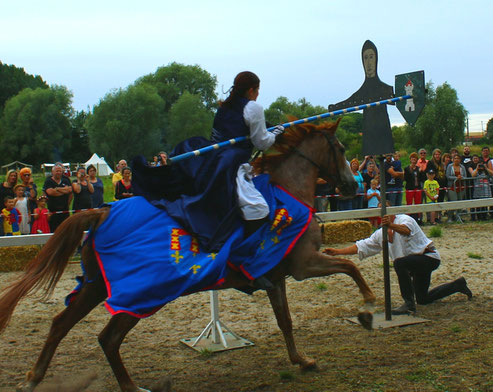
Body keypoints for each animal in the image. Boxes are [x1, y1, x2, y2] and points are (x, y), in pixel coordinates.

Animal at [0, 119, 374, 392]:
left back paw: (34, 377)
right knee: (108, 338)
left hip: (96, 285)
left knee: (61, 324)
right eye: (341, 148)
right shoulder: (303, 264)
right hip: (140, 293)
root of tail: (102, 212)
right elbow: (348, 266)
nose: (350, 185)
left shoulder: (277, 277)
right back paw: (131, 387)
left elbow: (286, 321)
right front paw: (368, 305)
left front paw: (302, 360)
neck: (288, 190)